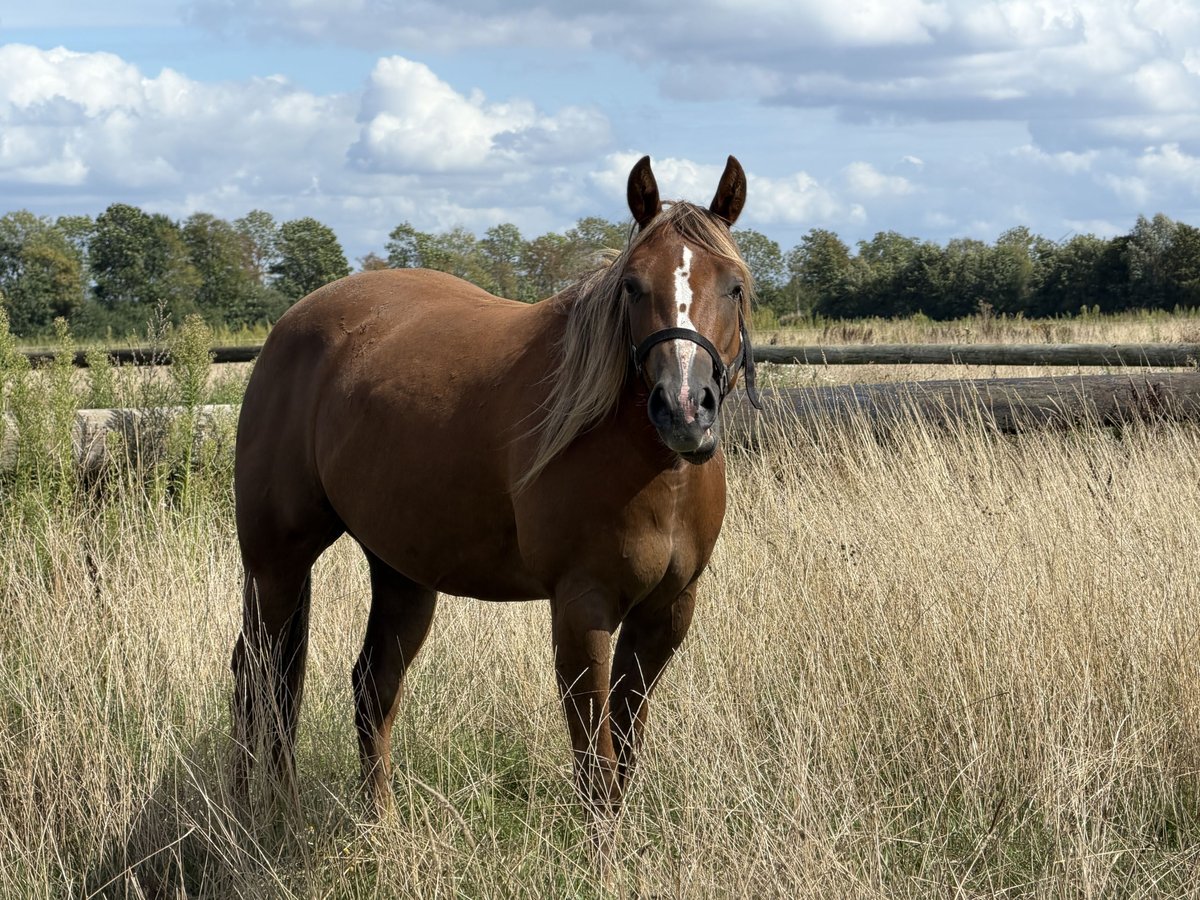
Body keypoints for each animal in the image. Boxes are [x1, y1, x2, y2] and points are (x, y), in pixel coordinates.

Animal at [231, 155, 761, 817]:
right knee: (260, 680)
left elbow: (624, 754)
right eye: (633, 286)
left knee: (370, 688)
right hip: (276, 563)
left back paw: (380, 828)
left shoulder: (667, 612)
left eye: (734, 285)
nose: (684, 409)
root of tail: (290, 327)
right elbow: (596, 766)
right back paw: (261, 815)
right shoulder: (581, 608)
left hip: (401, 572)